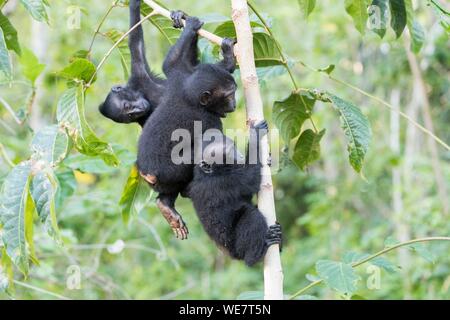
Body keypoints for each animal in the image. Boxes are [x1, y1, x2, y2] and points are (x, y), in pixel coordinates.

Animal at [136, 11, 237, 238]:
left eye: (234, 93)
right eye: (229, 96)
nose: (234, 104)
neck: (191, 97)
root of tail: (146, 174)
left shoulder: (179, 77)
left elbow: (172, 61)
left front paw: (186, 22)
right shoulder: (209, 121)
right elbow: (212, 149)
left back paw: (165, 205)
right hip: (168, 172)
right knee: (191, 157)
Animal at [184, 121, 282, 266]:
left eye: (234, 147)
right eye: (230, 153)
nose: (240, 156)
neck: (210, 173)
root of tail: (233, 256)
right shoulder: (228, 181)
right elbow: (251, 178)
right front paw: (255, 135)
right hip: (238, 247)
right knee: (251, 214)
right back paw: (256, 255)